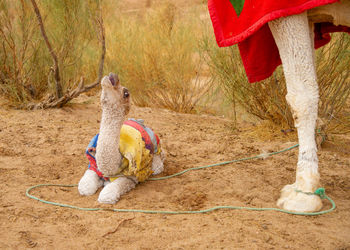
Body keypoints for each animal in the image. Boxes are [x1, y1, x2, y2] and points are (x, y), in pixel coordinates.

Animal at [78, 72, 164, 203]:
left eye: (126, 93)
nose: (113, 75)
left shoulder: (131, 177)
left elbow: (107, 195)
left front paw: (106, 188)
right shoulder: (93, 165)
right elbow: (84, 188)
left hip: (157, 156)